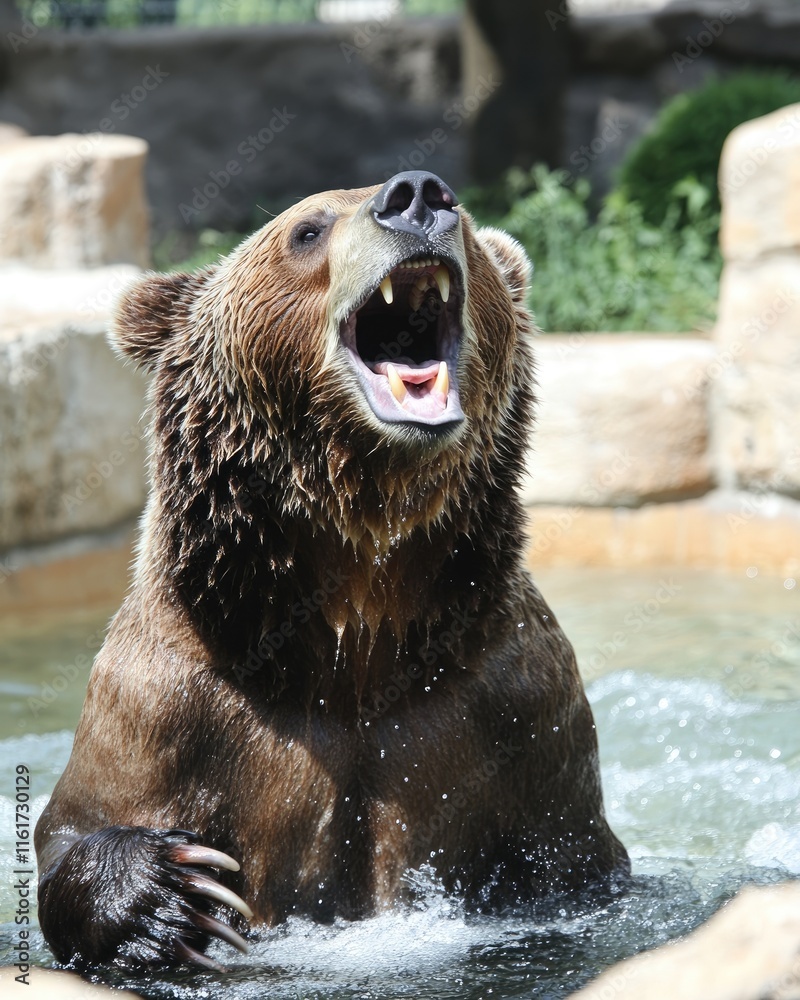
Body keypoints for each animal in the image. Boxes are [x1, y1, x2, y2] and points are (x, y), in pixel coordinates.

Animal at [35, 170, 629, 972]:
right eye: (307, 228)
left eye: (471, 229)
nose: (418, 195)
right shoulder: (170, 703)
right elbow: (79, 823)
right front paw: (174, 895)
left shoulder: (516, 703)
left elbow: (576, 860)